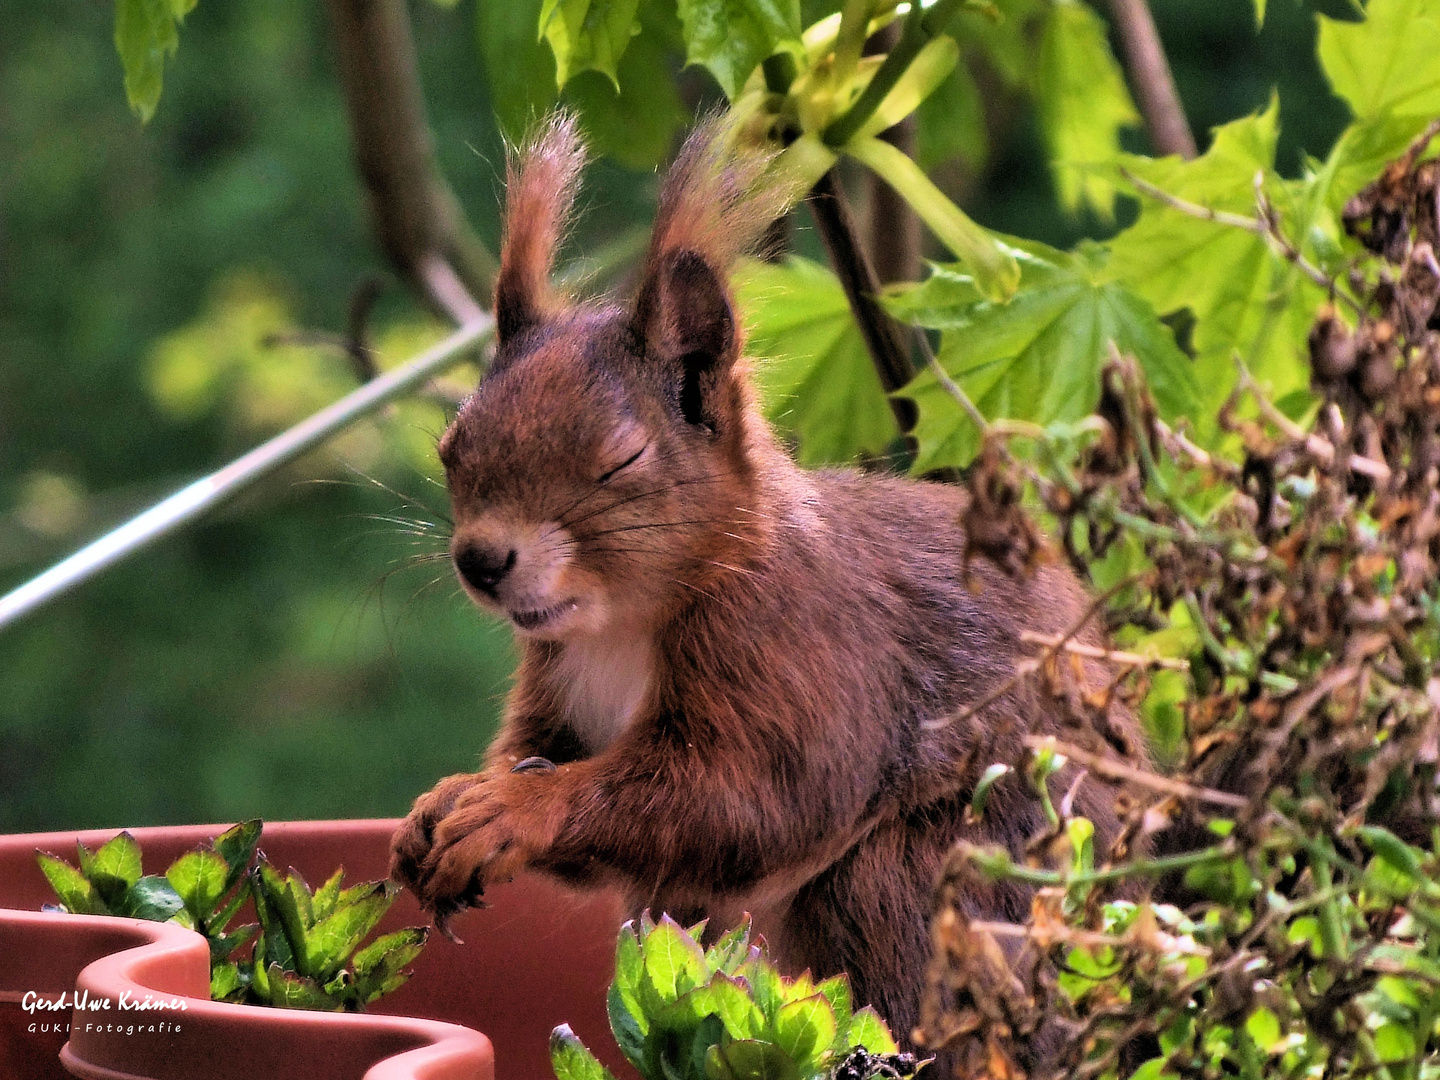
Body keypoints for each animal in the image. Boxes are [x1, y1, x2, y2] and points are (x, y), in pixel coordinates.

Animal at [388, 114, 1140, 1054]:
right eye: (451, 448)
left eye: (622, 460)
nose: (482, 560)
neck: (621, 624)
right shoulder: (556, 677)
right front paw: (447, 800)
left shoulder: (796, 649)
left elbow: (752, 798)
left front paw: (517, 808)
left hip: (943, 875)